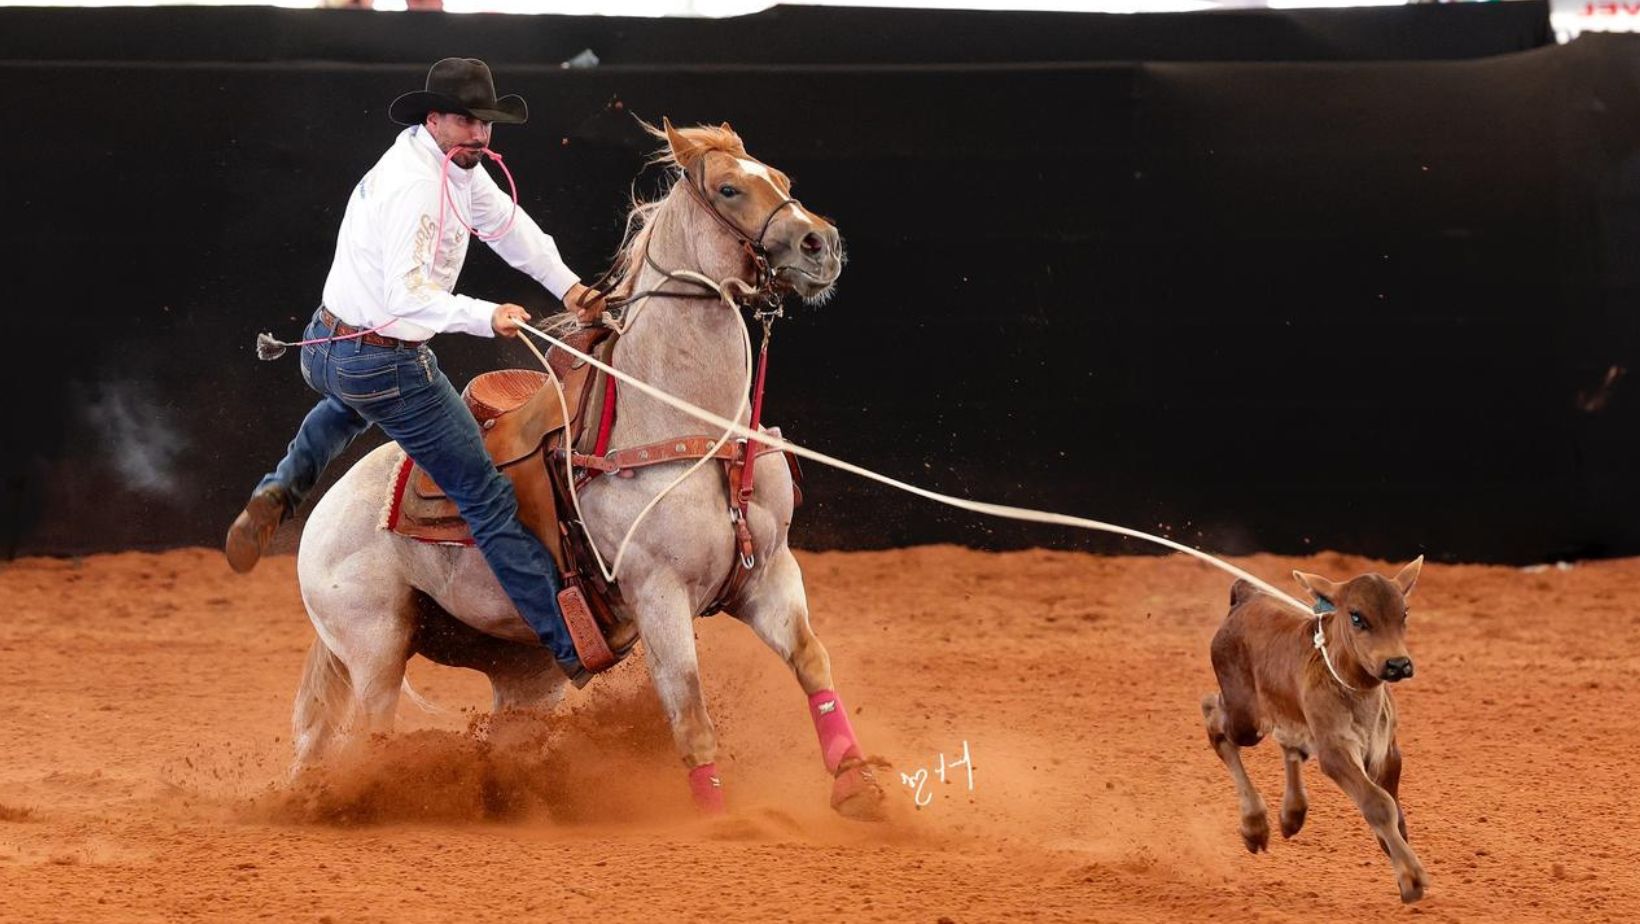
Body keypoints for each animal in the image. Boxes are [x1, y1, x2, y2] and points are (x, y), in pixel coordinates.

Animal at [289, 119, 886, 818]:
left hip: (523, 671)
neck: (683, 422)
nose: (821, 244)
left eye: (783, 179)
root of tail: (326, 512)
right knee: (370, 734)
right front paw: (717, 819)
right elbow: (689, 707)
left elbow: (812, 661)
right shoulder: (658, 592)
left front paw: (858, 784)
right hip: (374, 645)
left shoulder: (768, 571)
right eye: (730, 188)